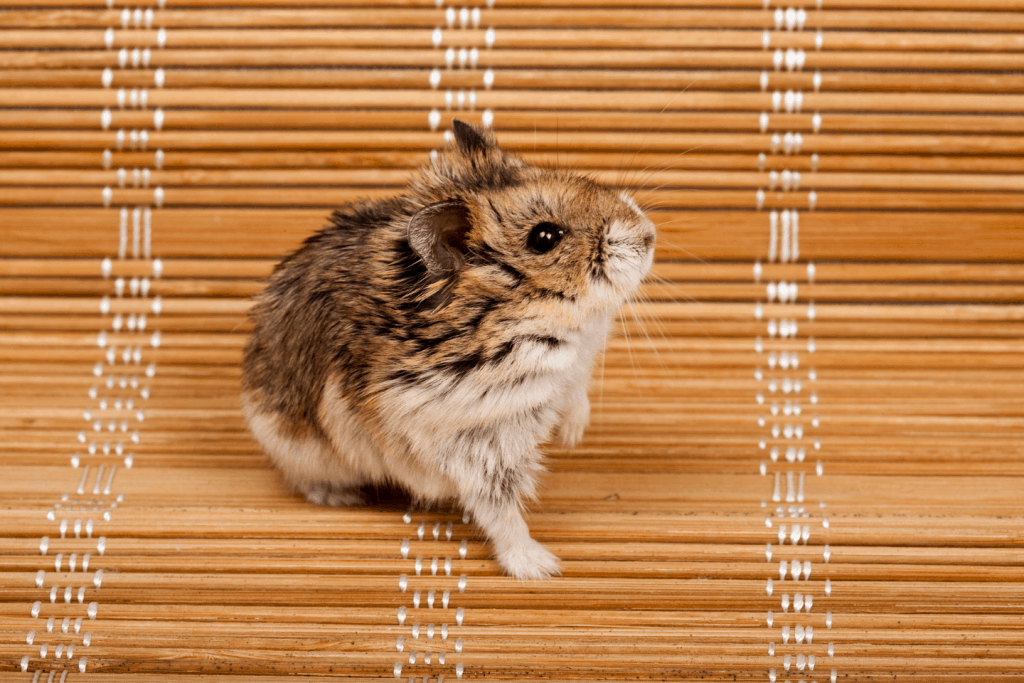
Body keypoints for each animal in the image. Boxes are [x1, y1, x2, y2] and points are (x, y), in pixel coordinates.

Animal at [241, 120, 655, 581]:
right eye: (545, 237)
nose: (649, 235)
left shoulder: (572, 372)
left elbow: (576, 394)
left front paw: (571, 435)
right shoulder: (479, 442)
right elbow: (500, 510)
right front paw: (541, 567)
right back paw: (342, 497)